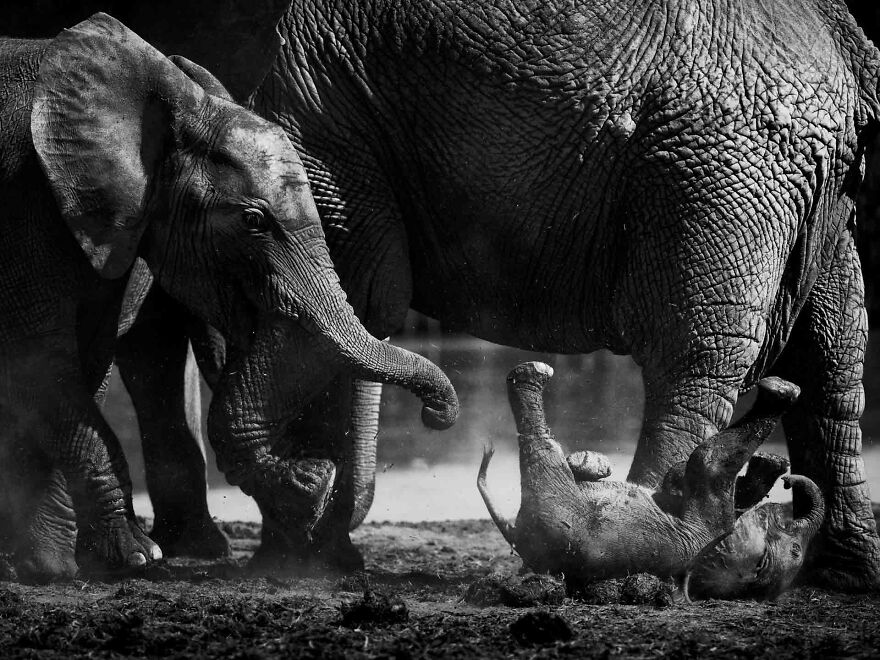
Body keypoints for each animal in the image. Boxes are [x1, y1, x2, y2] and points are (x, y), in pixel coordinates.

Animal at [0, 12, 458, 583]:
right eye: (253, 221)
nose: (437, 415)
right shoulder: (25, 208)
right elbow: (42, 360)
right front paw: (132, 558)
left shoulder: (111, 226)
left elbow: (80, 368)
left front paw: (56, 567)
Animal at [478, 361, 810, 591]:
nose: (787, 481)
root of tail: (515, 534)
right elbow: (685, 476)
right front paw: (772, 463)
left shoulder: (706, 520)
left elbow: (705, 460)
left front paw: (781, 390)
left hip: (558, 512)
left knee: (542, 447)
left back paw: (533, 374)